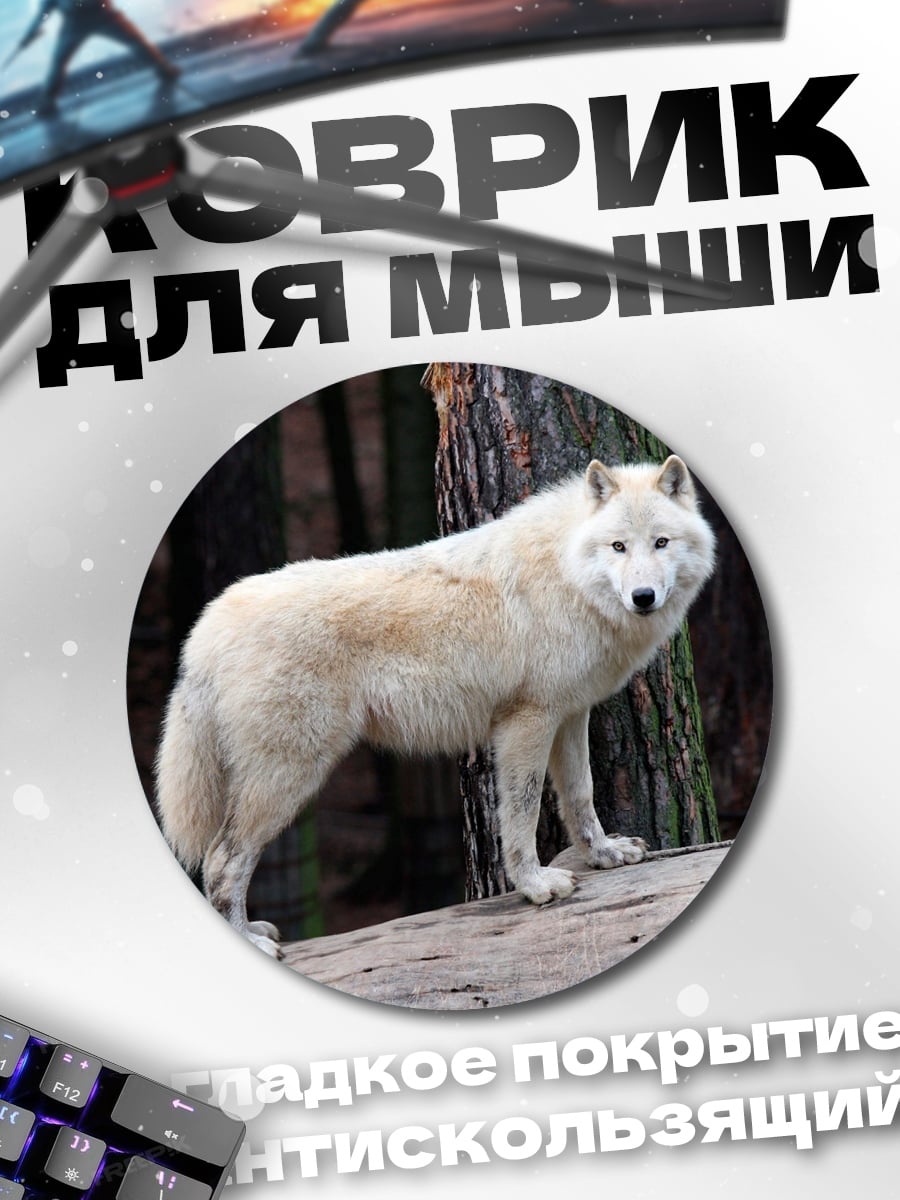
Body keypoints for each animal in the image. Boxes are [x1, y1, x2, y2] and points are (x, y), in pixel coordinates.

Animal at [155, 454, 715, 958]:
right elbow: (523, 810)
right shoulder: (527, 722)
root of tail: (206, 628)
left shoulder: (570, 715)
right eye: (618, 546)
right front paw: (535, 885)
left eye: (661, 543)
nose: (643, 596)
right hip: (290, 776)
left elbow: (581, 795)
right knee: (222, 860)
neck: (567, 574)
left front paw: (603, 854)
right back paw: (250, 940)